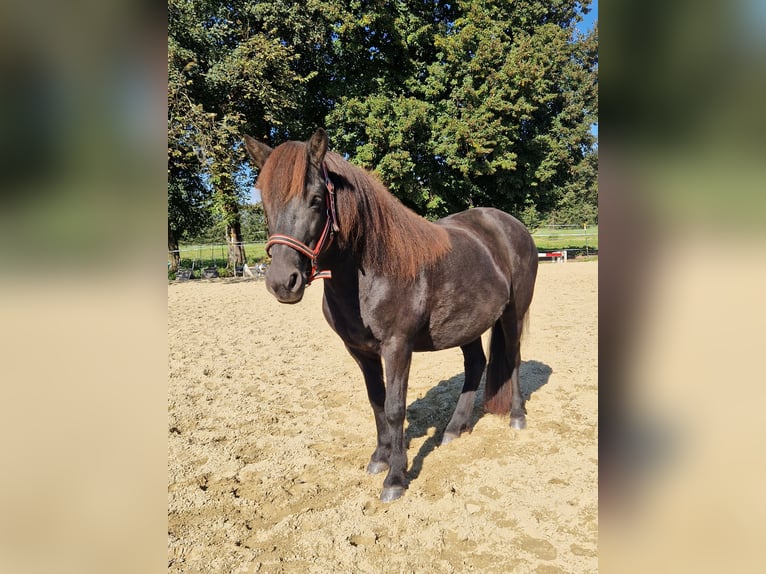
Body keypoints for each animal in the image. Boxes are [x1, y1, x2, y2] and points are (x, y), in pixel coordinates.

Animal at [244, 129, 539, 502]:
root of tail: (510, 225)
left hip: (514, 313)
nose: (283, 282)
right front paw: (379, 459)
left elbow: (396, 407)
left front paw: (396, 478)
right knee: (476, 364)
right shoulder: (361, 351)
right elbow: (377, 403)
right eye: (265, 202)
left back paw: (517, 416)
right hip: (466, 324)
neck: (372, 270)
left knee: (513, 359)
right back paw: (454, 429)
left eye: (315, 199)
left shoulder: (397, 347)